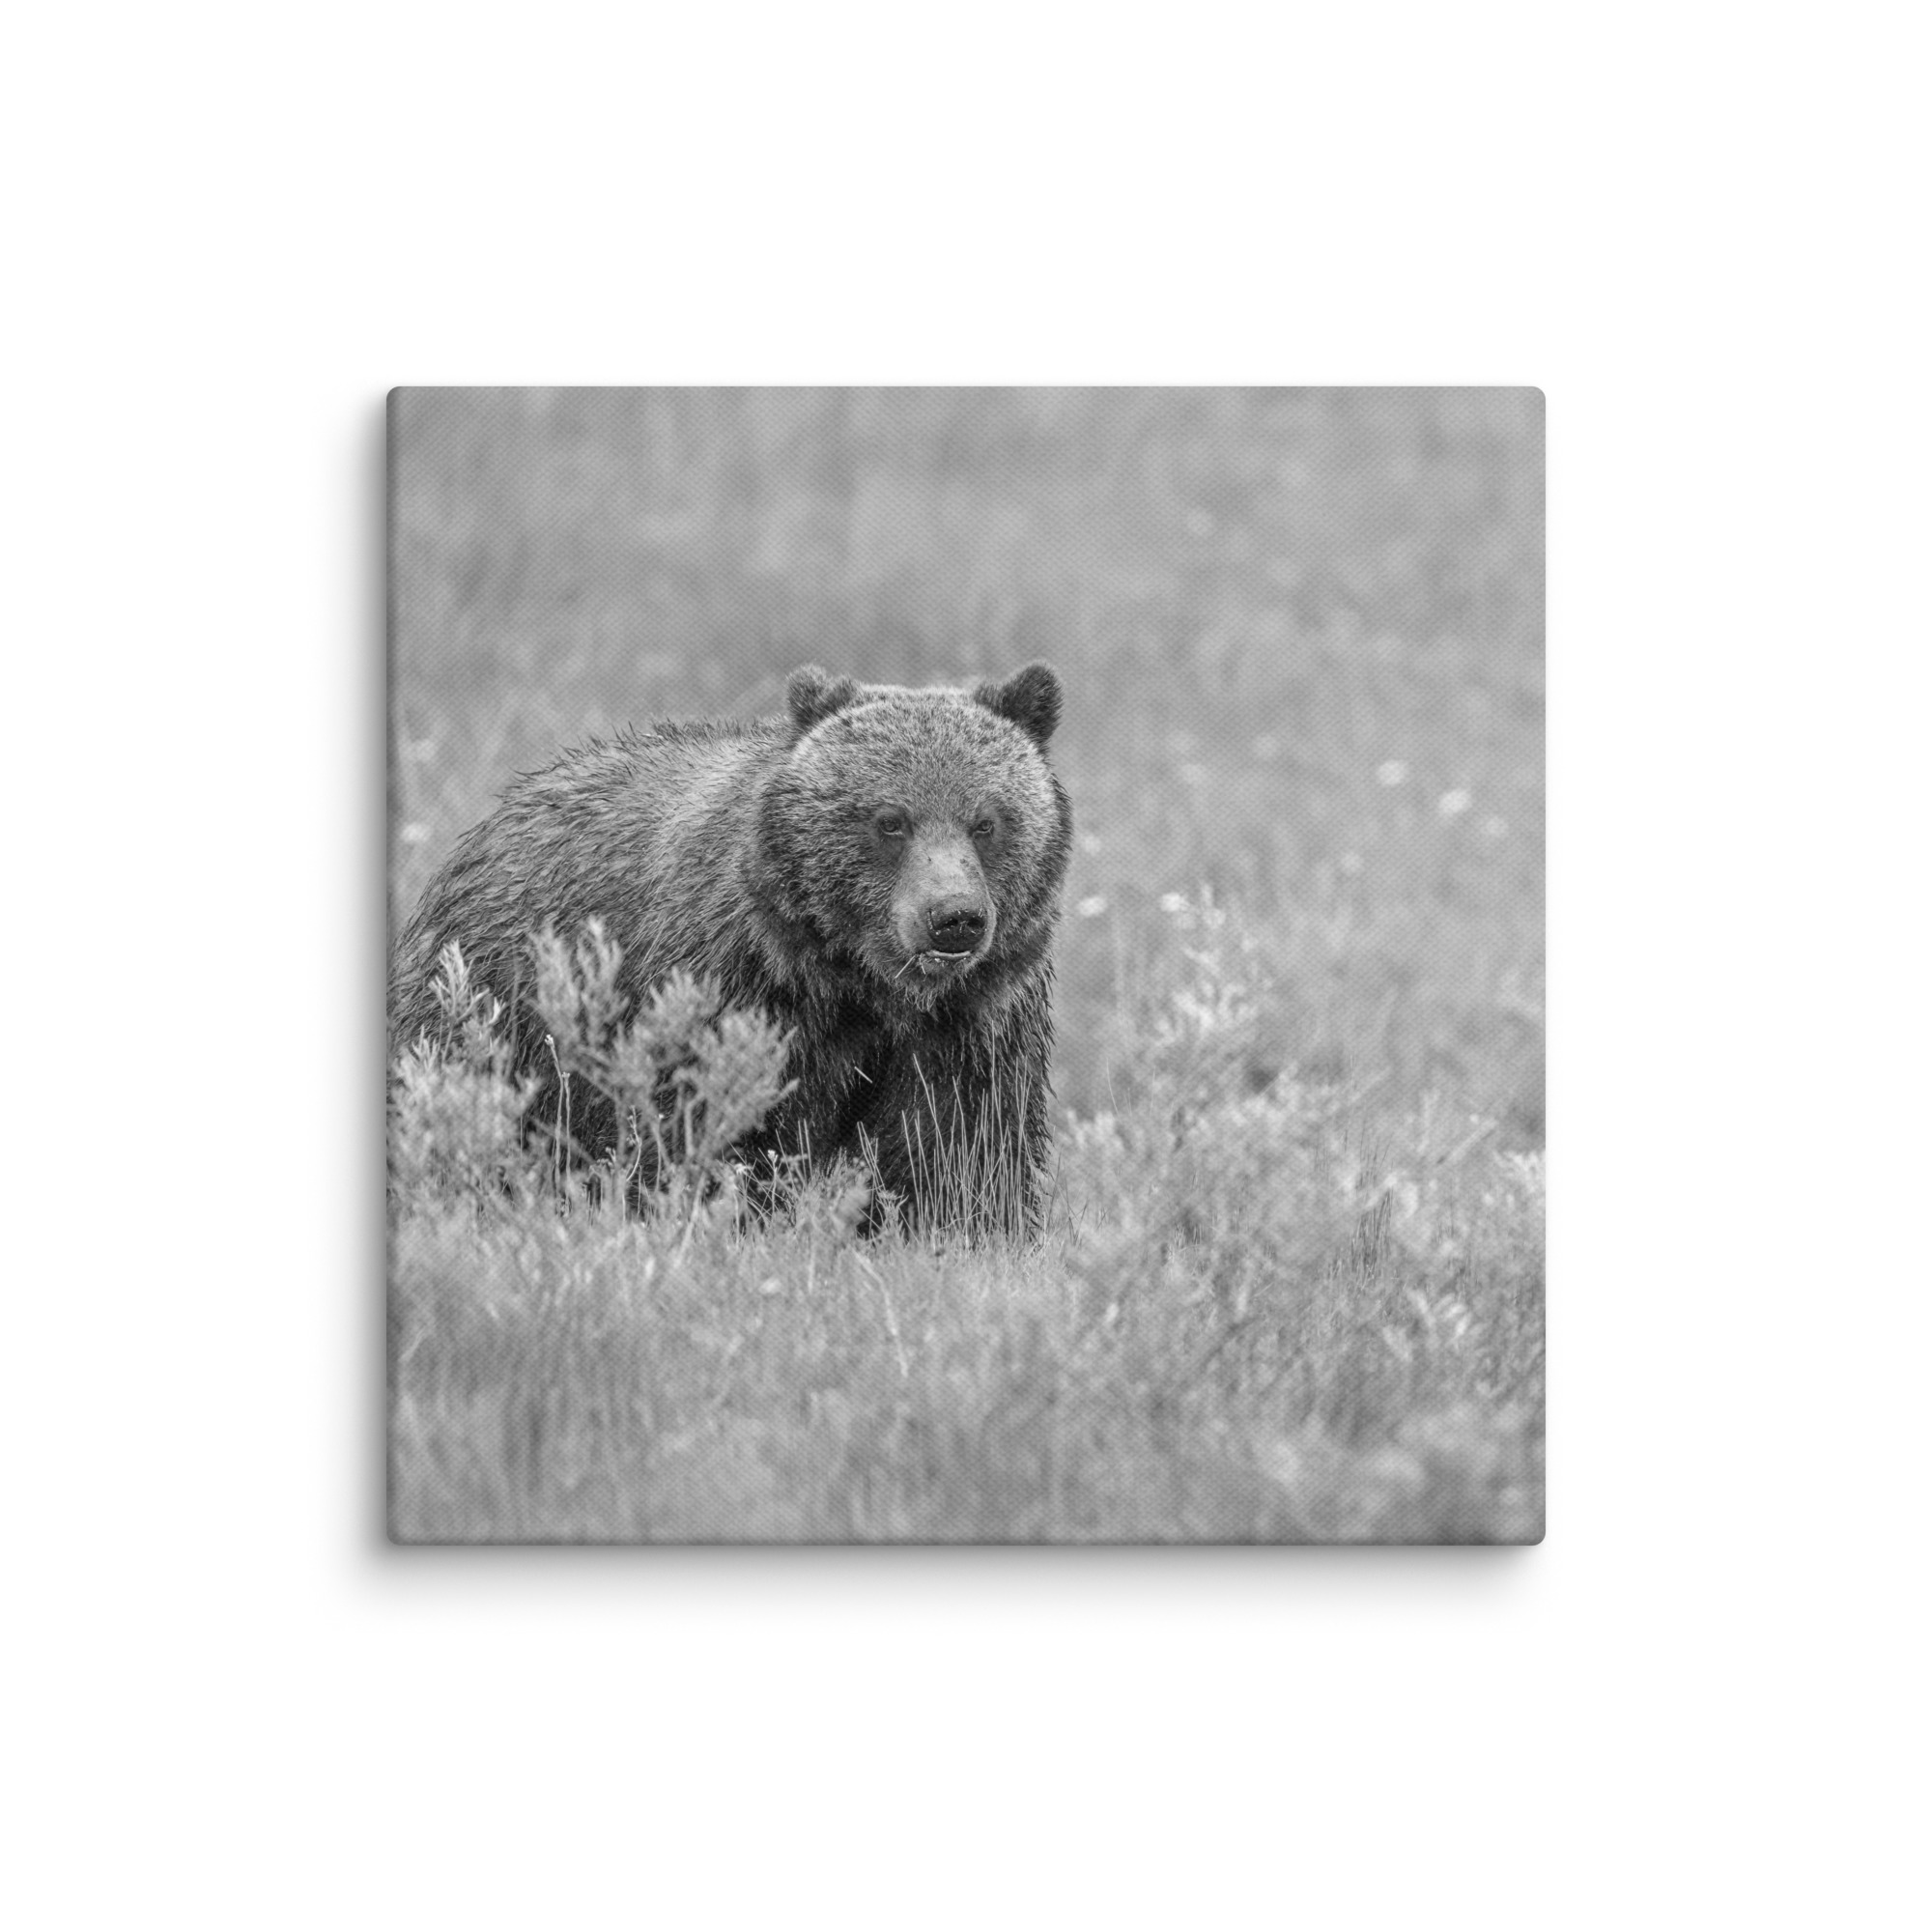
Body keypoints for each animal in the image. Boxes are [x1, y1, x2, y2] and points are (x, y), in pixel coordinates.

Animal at [389, 662, 1072, 1238]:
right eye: (890, 820)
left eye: (986, 821)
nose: (953, 918)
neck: (860, 985)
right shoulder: (734, 990)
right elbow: (712, 1127)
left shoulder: (973, 1022)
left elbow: (961, 1149)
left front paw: (963, 1234)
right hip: (497, 1012)